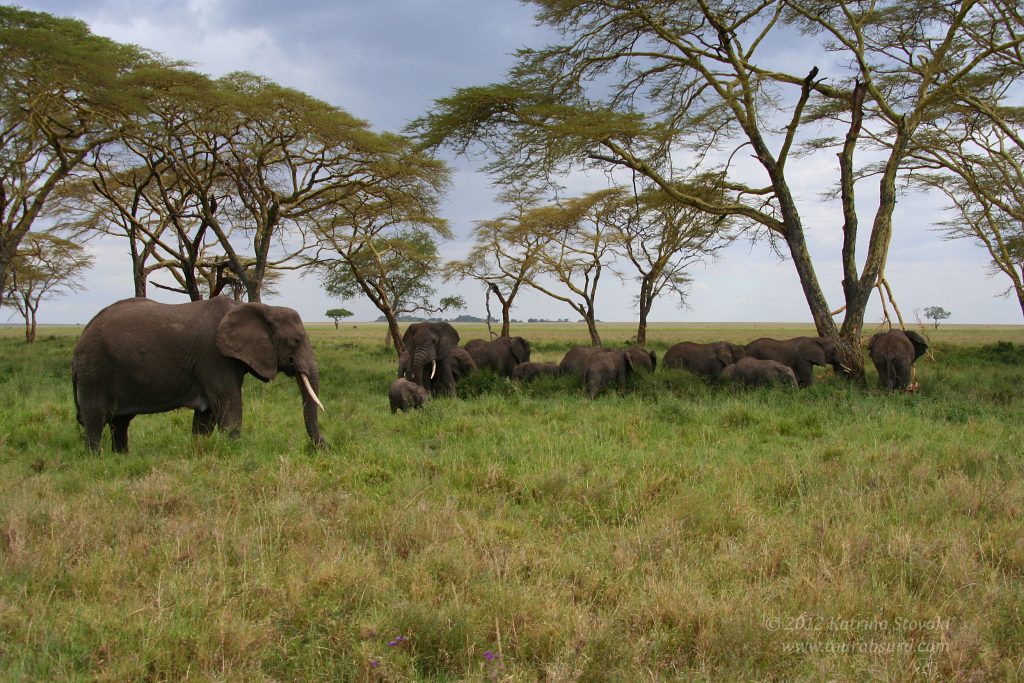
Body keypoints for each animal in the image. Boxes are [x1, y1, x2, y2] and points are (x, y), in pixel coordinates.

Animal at [71, 294, 323, 450]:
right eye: (296, 340)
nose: (323, 448)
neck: (256, 307)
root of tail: (81, 337)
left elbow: (206, 416)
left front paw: (199, 451)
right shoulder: (214, 357)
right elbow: (228, 407)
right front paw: (235, 451)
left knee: (120, 422)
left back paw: (122, 457)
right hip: (94, 370)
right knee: (95, 418)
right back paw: (97, 459)